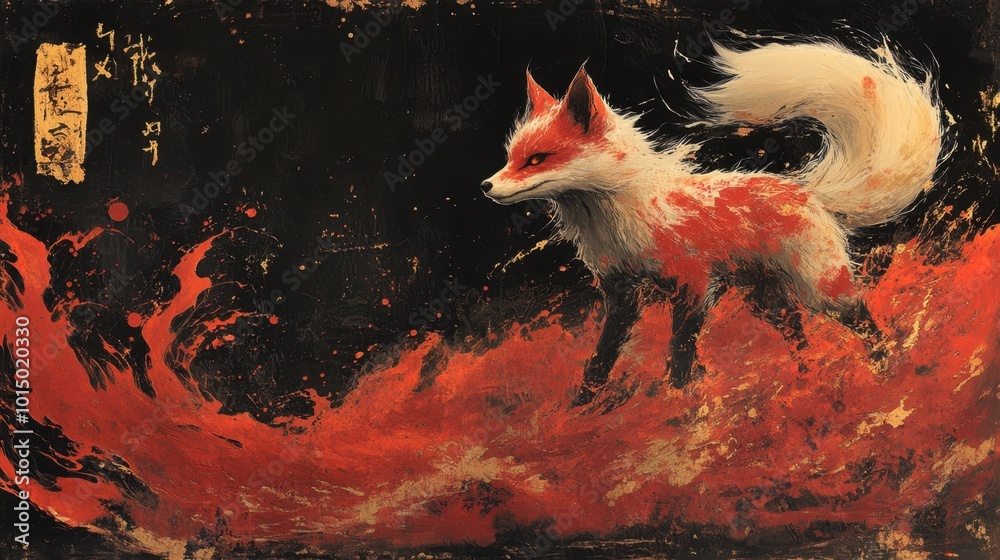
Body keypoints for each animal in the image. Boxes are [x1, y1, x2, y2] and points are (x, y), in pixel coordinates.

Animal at [481, 41, 944, 405]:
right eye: (512, 157)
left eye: (537, 159)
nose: (486, 186)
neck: (620, 226)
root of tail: (805, 190)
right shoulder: (621, 293)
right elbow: (600, 361)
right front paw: (580, 410)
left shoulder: (694, 285)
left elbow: (679, 354)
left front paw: (679, 407)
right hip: (766, 301)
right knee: (799, 336)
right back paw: (806, 380)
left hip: (821, 289)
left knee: (862, 319)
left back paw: (885, 373)